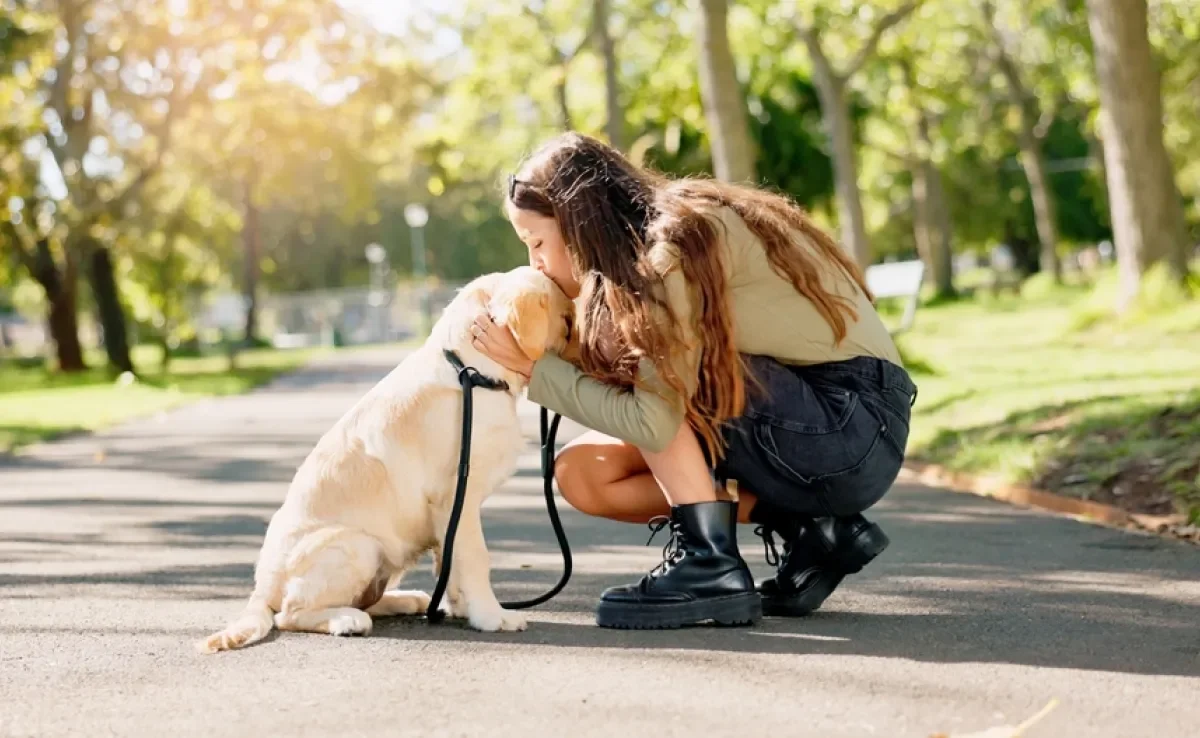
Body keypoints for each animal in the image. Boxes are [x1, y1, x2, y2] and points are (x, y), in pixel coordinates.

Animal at [196, 265, 571, 652]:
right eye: (566, 320)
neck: (470, 370)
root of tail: (261, 588)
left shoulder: (449, 514)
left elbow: (450, 562)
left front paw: (464, 608)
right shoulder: (457, 496)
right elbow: (475, 557)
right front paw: (493, 617)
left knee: (368, 599)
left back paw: (408, 599)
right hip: (358, 545)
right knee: (290, 613)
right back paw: (347, 619)